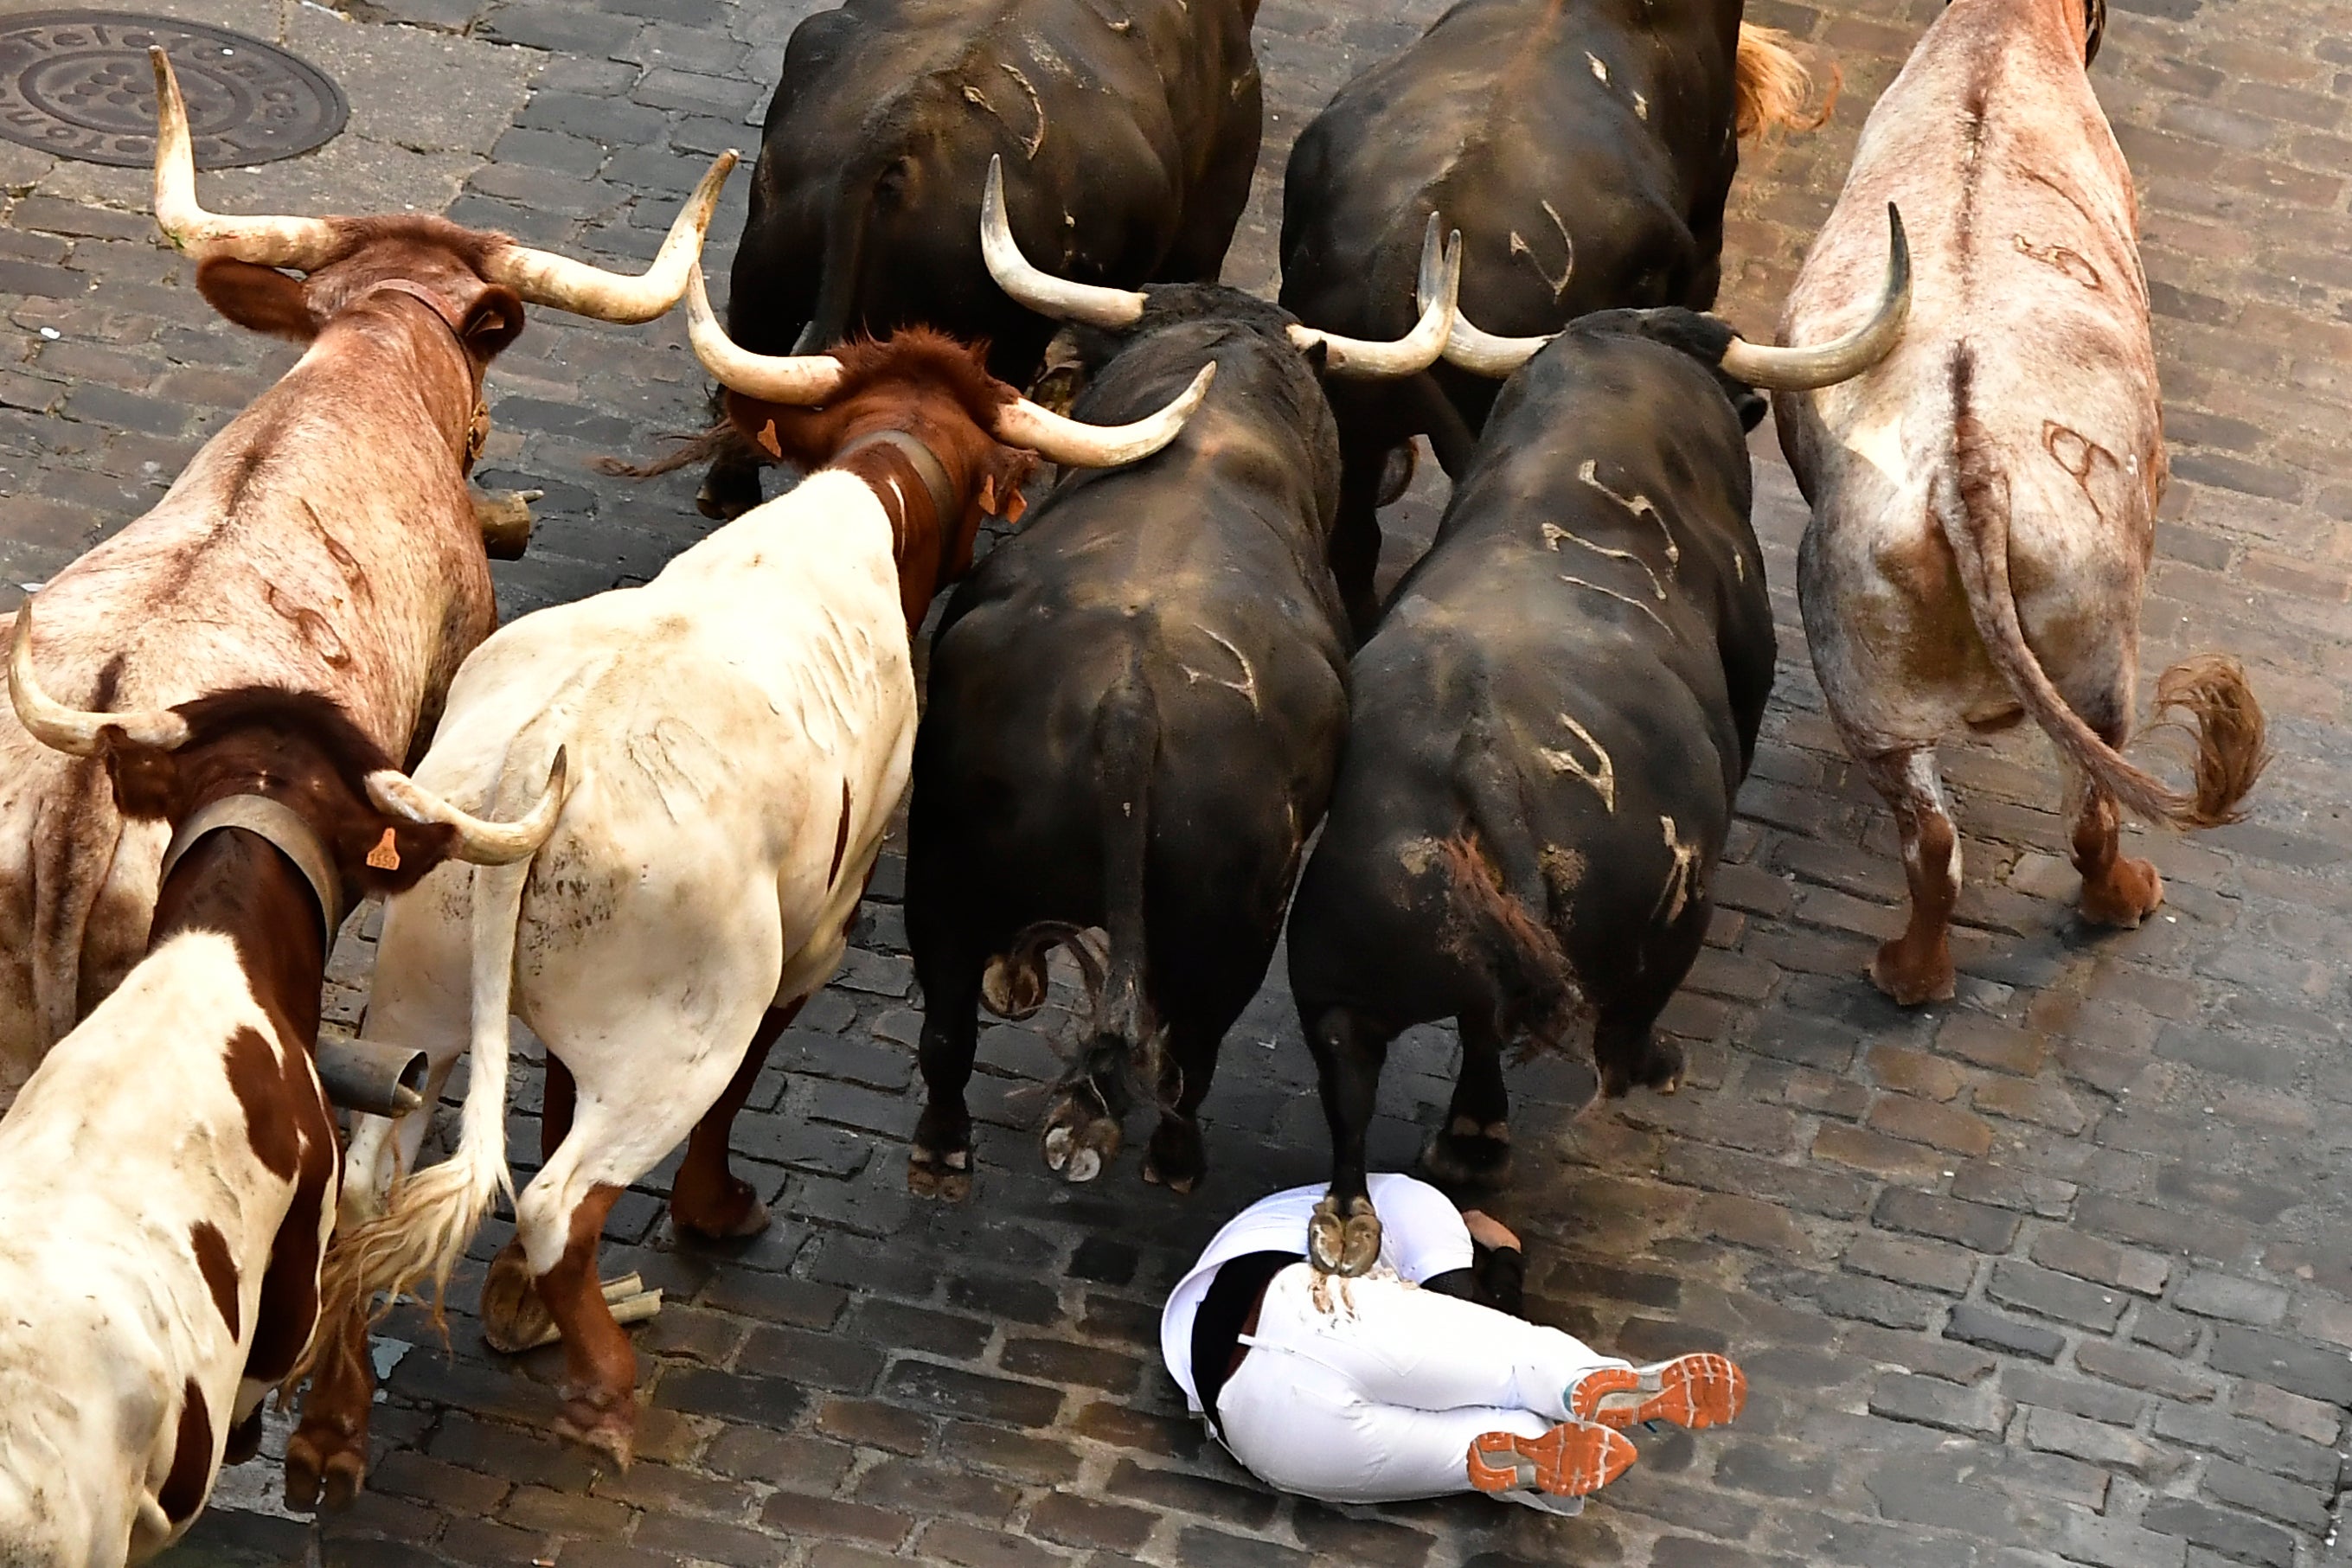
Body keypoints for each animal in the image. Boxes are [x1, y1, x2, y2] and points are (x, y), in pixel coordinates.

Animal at [290, 269, 1214, 1496]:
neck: (859, 504)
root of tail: (543, 755)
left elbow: (554, 1091)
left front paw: (511, 1308)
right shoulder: (816, 935)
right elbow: (736, 1094)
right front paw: (713, 1211)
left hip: (420, 1000)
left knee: (373, 1180)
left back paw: (333, 1424)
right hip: (681, 1035)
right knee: (564, 1202)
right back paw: (603, 1387)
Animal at [901, 157, 1459, 1202]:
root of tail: (1128, 703)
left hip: (943, 863)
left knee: (948, 1026)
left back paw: (949, 1147)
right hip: (1231, 926)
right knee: (1187, 1054)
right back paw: (1170, 1158)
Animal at [1285, 222, 1910, 1275]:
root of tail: (1477, 759)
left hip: (1337, 978)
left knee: (1360, 1080)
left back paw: (1399, 1183)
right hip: (1666, 918)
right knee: (1619, 1030)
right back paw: (1642, 1072)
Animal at [1774, 0, 2265, 1007]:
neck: (1998, 30)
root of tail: (1969, 472)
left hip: (1861, 662)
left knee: (1929, 841)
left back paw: (1911, 973)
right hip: (2098, 656)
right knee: (2091, 811)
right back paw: (2119, 898)